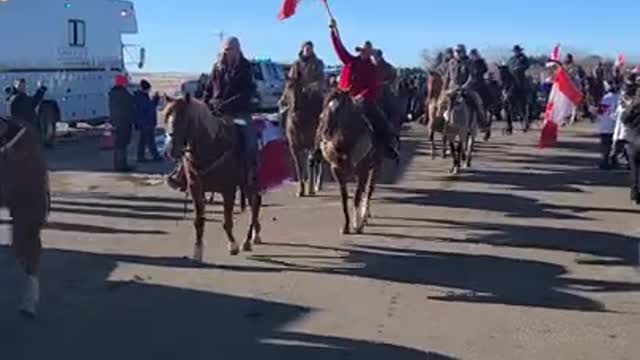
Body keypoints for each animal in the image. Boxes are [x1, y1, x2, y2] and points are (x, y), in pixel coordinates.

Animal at [165, 94, 264, 260]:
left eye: (184, 119)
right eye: (167, 117)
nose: (171, 151)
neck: (212, 147)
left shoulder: (228, 190)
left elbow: (227, 221)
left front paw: (233, 245)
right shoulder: (195, 189)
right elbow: (199, 220)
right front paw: (198, 250)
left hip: (249, 184)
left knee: (254, 204)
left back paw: (248, 240)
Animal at [318, 91, 382, 235]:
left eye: (338, 110)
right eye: (324, 108)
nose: (324, 131)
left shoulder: (363, 173)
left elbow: (357, 197)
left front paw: (357, 225)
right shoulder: (338, 173)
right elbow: (344, 198)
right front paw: (346, 226)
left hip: (375, 167)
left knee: (368, 190)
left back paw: (364, 216)